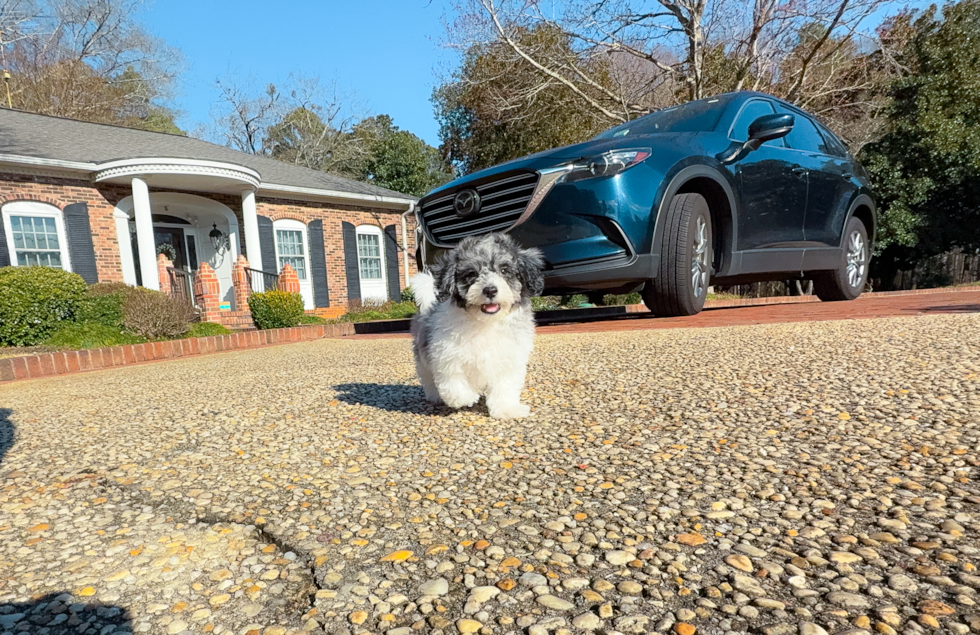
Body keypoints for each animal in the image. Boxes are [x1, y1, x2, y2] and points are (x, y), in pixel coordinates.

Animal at [406, 231, 544, 420]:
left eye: (505, 270)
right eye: (471, 273)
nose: (490, 290)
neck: (485, 322)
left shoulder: (509, 358)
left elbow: (505, 386)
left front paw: (506, 409)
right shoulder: (446, 354)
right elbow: (454, 383)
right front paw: (467, 397)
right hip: (422, 357)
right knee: (428, 378)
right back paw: (436, 396)